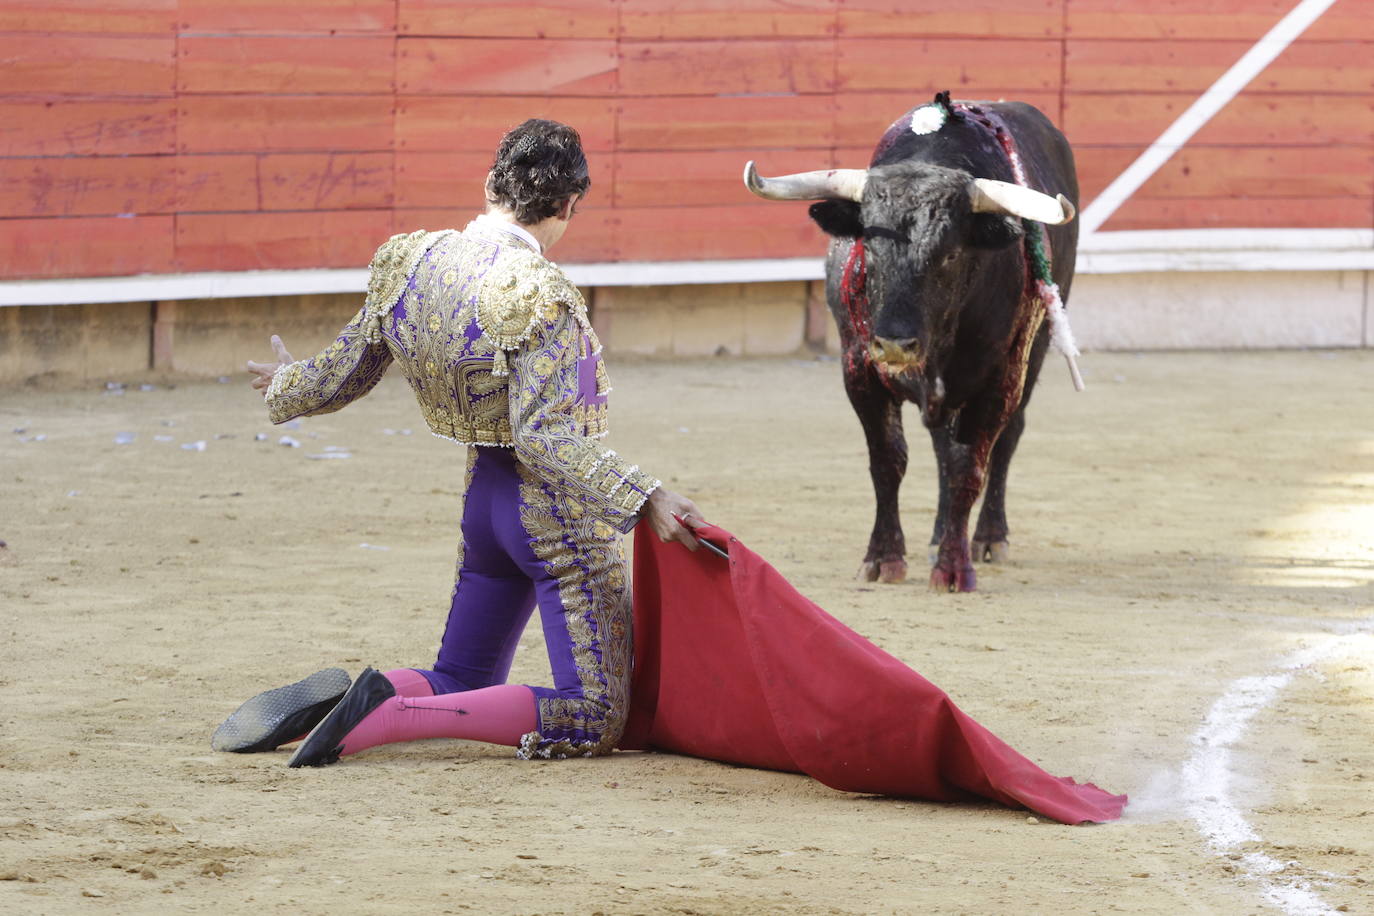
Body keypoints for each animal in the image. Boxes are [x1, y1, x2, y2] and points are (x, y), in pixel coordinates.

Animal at [747, 94, 1077, 596]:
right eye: (868, 245)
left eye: (951, 254)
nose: (895, 343)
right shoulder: (859, 369)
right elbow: (889, 460)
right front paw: (883, 558)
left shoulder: (1000, 376)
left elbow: (970, 465)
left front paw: (954, 568)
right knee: (942, 442)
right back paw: (940, 535)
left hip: (1035, 349)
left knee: (1006, 438)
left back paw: (987, 537)